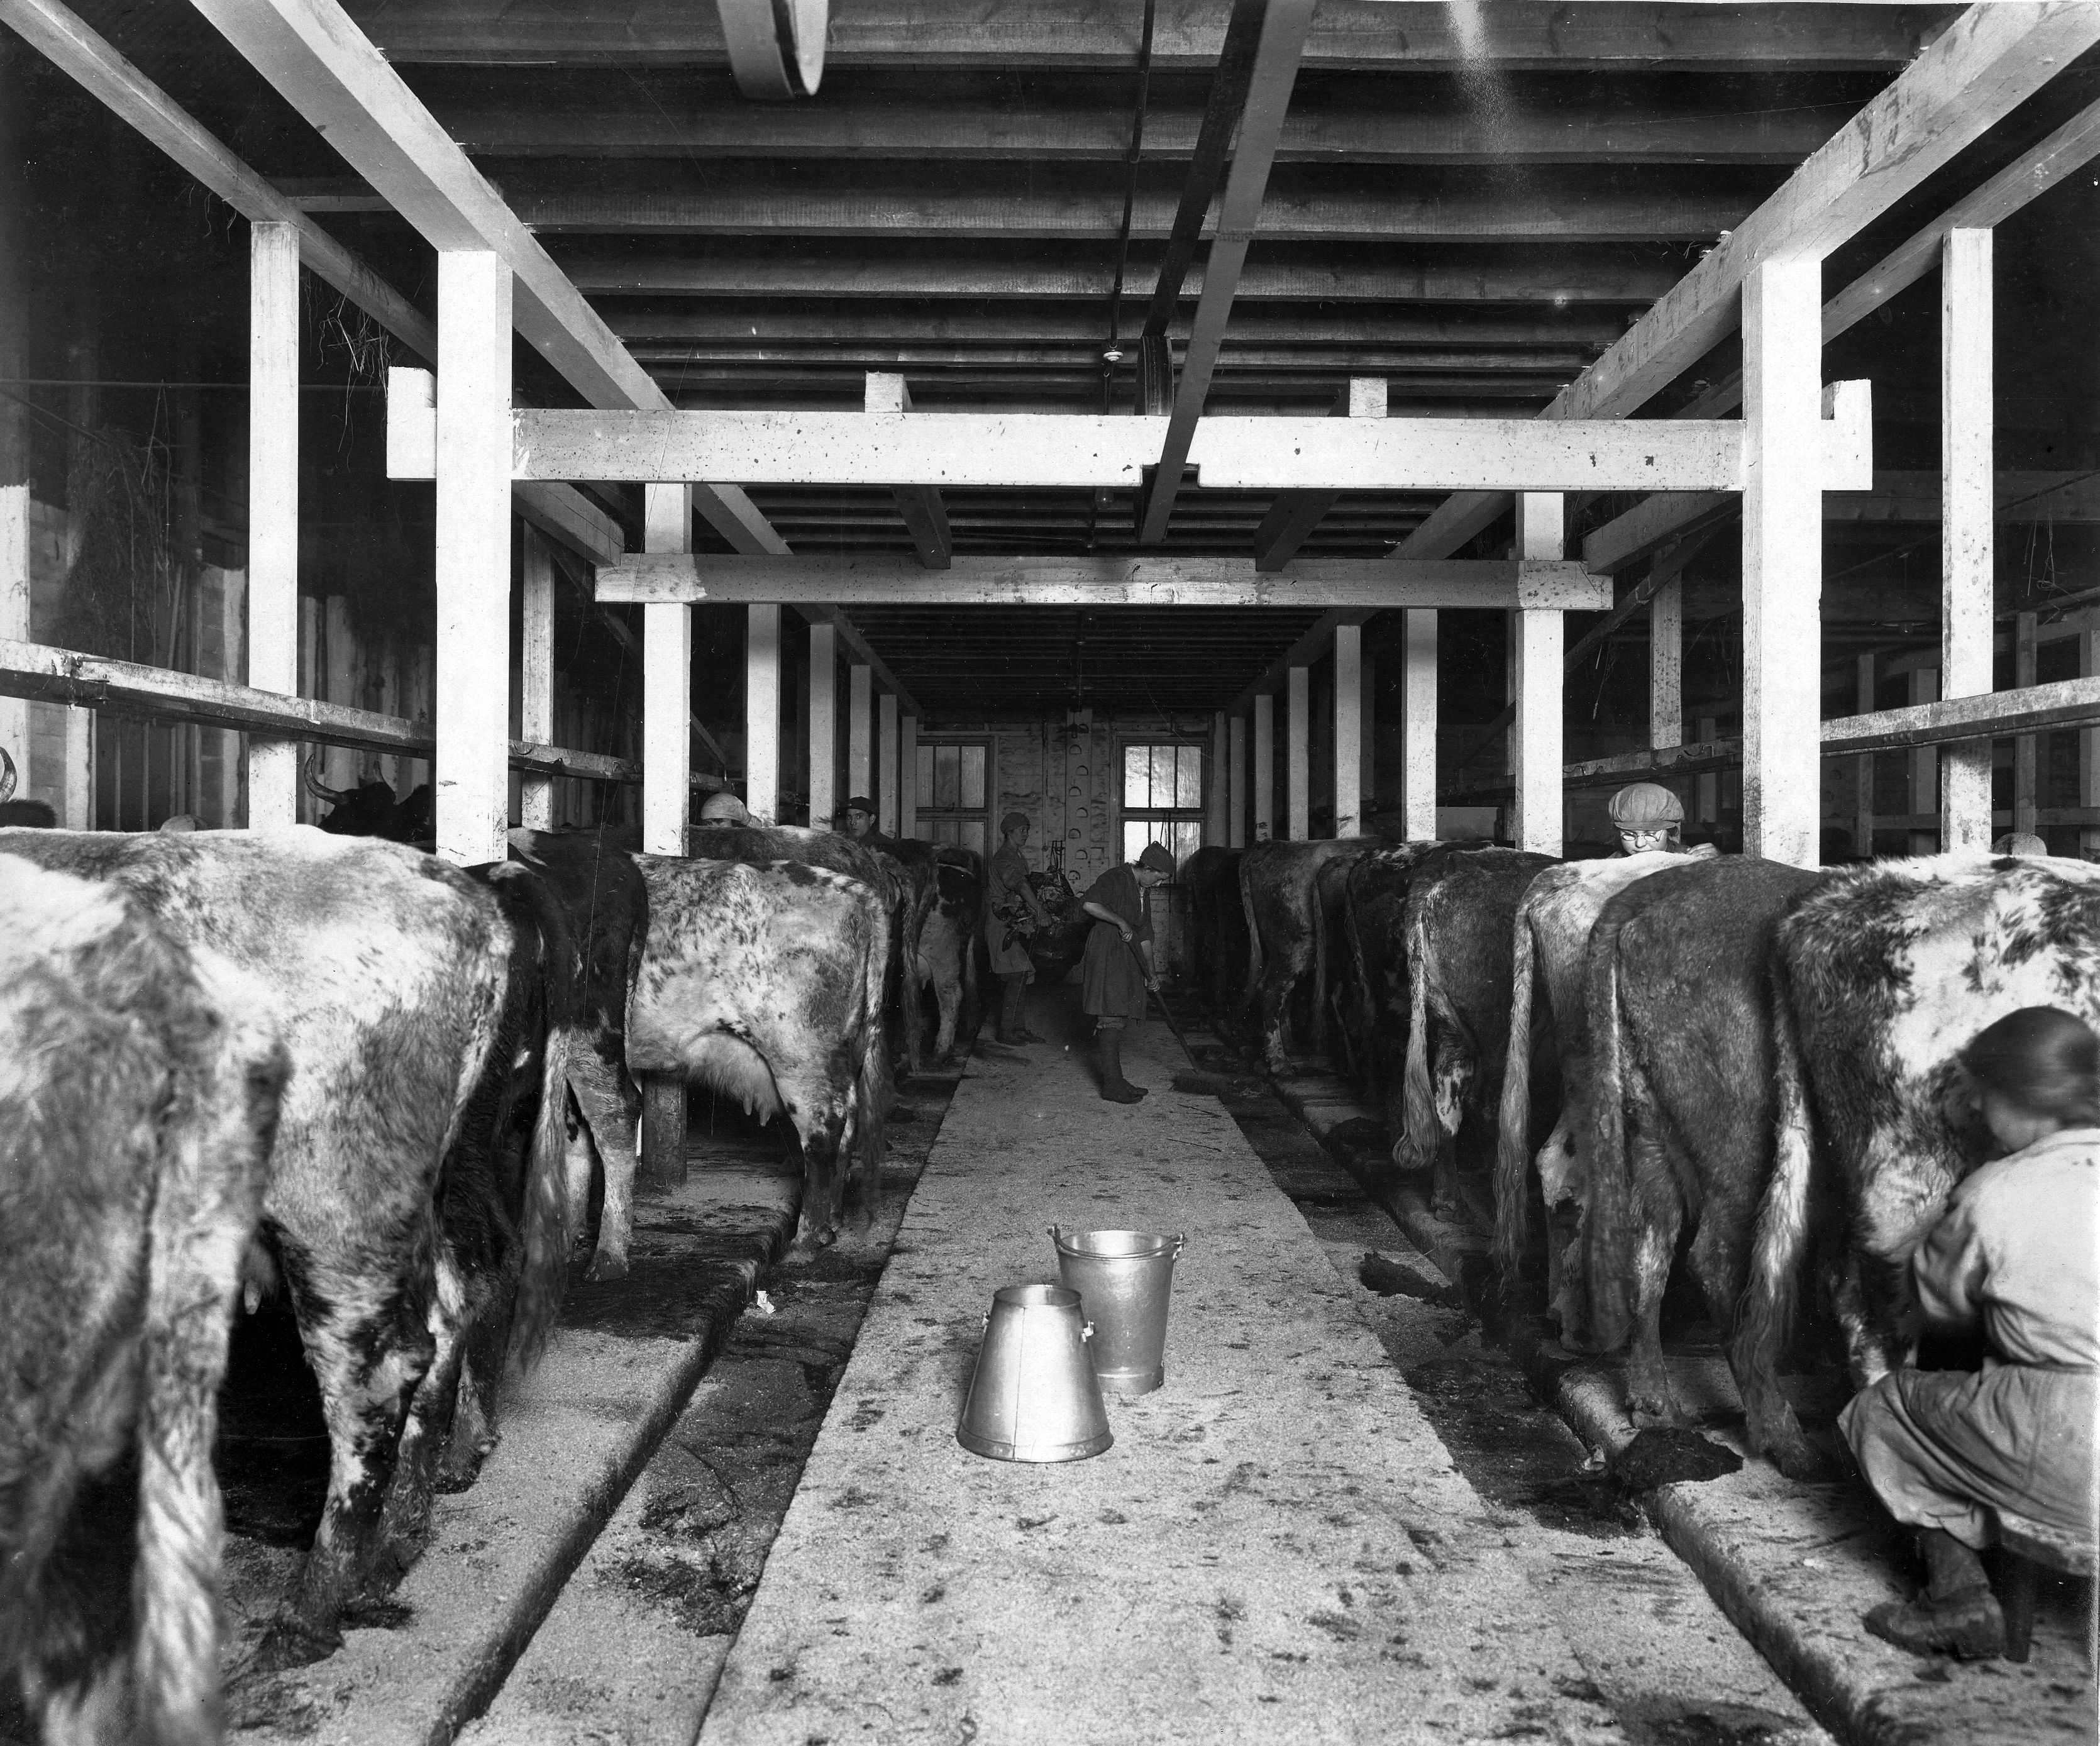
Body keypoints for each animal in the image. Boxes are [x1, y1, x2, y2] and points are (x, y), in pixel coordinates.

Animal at [627, 856, 889, 1251]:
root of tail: (847, 886)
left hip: (796, 1053)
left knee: (825, 1124)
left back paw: (806, 1240)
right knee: (848, 1120)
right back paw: (830, 1224)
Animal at [1238, 839, 1381, 1072]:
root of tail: (1270, 844)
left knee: (1284, 995)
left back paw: (1290, 1048)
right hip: (1294, 946)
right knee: (1271, 990)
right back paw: (1280, 1061)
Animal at [1394, 847, 1558, 1215]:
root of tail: (1453, 862)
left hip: (1447, 1024)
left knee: (1446, 1105)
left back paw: (1448, 1200)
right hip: (1499, 1034)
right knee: (1494, 1110)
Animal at [1560, 856, 1827, 1479]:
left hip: (1651, 1134)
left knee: (1650, 1250)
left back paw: (1654, 1403)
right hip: (1740, 1144)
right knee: (1719, 1259)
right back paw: (1784, 1435)